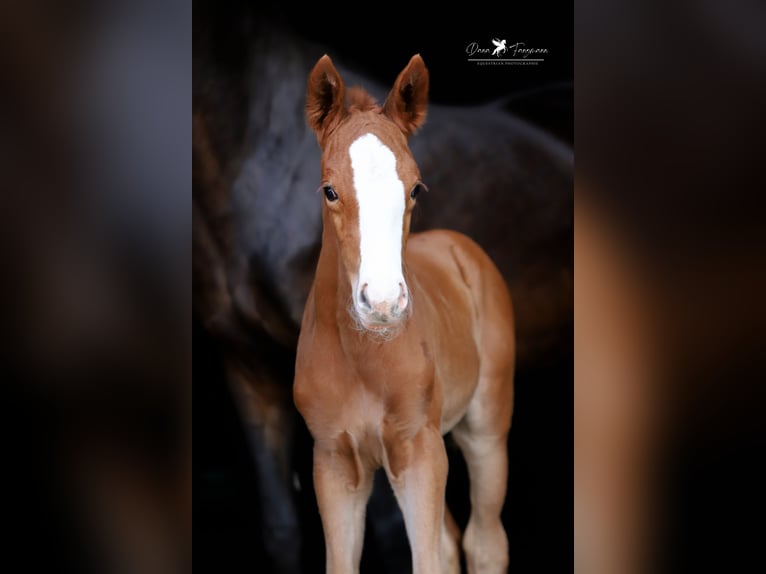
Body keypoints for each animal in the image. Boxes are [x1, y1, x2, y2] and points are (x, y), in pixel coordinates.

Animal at [293, 54, 516, 574]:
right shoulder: (333, 462)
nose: (382, 303)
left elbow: (429, 559)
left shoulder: (419, 451)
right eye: (330, 190)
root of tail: (457, 245)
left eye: (414, 188)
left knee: (484, 542)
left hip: (485, 430)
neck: (362, 359)